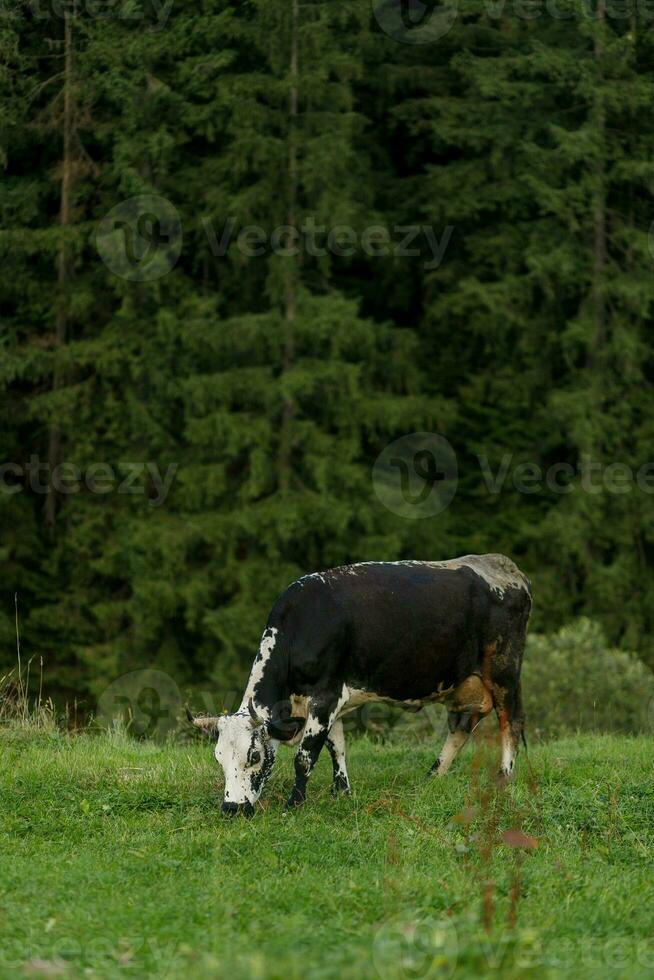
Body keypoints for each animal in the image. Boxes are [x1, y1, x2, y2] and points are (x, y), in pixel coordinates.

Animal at [188, 556, 532, 816]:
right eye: (218, 757)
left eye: (254, 756)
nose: (231, 808)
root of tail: (503, 565)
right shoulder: (330, 702)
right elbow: (336, 747)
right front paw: (342, 792)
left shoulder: (324, 697)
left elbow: (304, 757)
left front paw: (293, 805)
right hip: (465, 685)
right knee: (461, 727)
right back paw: (432, 778)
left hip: (504, 672)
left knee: (511, 722)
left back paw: (504, 778)